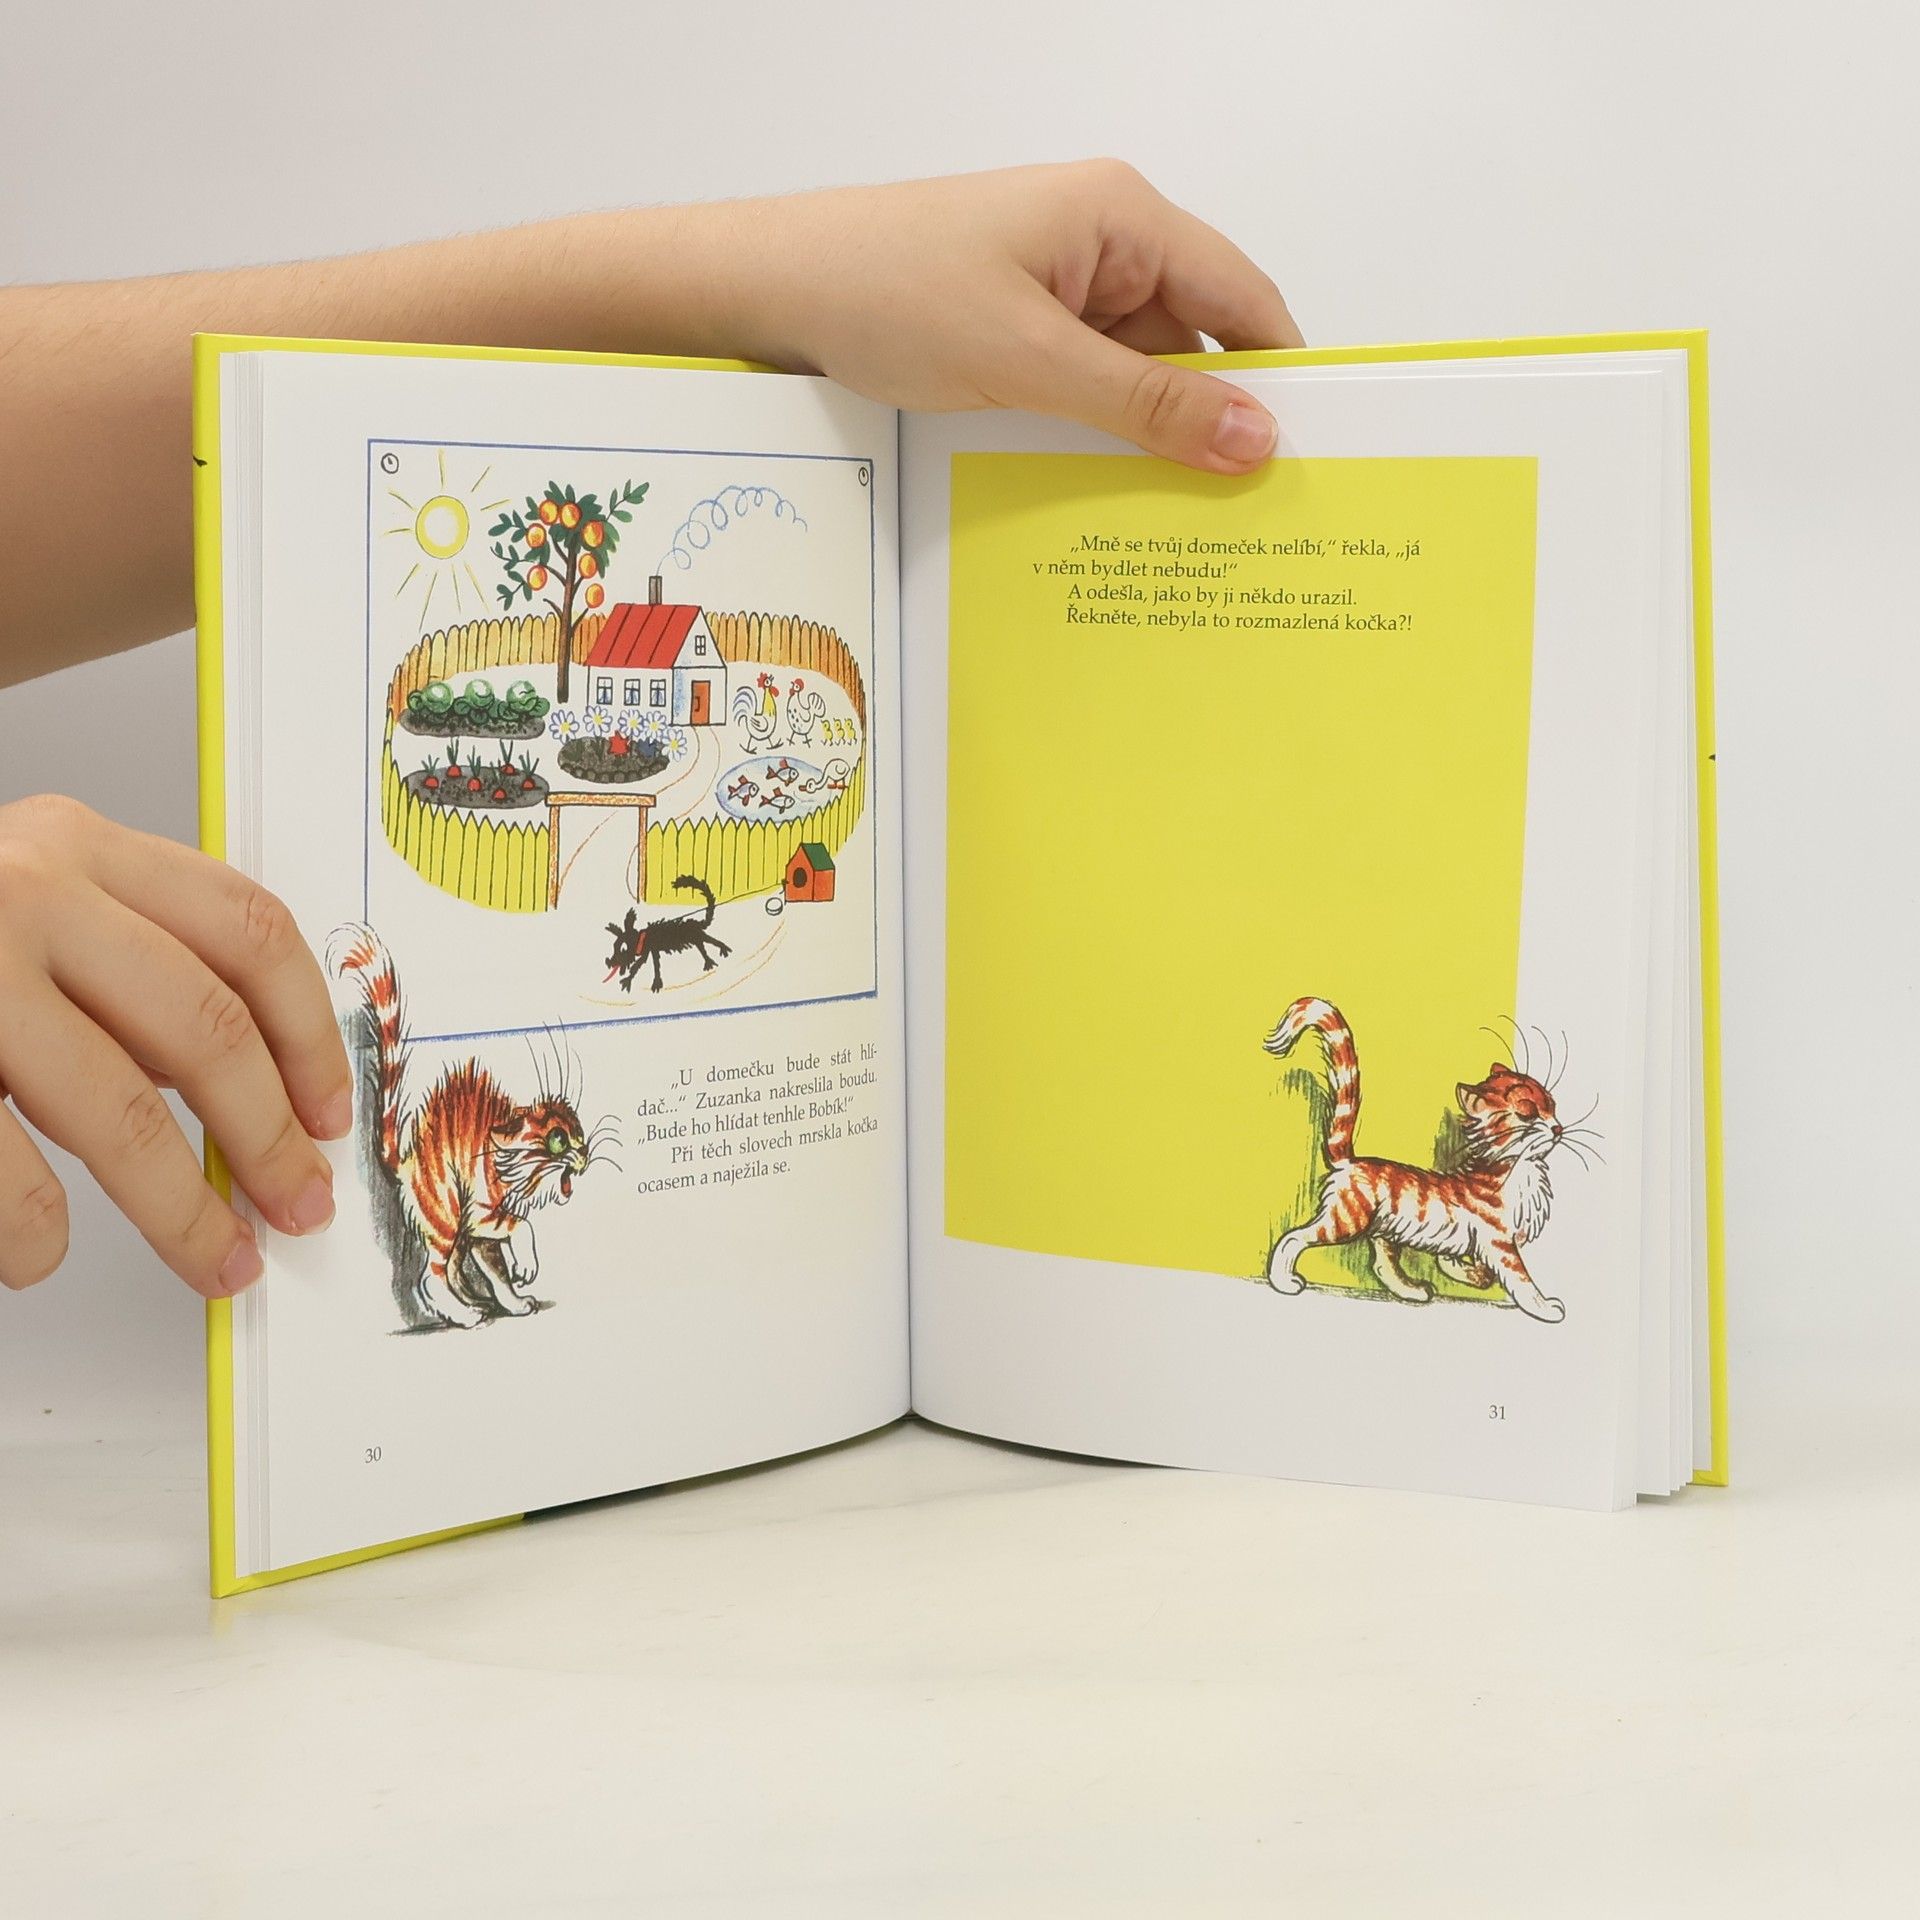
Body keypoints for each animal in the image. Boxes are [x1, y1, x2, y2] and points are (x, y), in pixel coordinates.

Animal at [332, 927, 604, 1331]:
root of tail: (407, 1163)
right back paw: (466, 1314)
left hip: (455, 1231)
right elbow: (521, 1227)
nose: (584, 1157)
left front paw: (514, 1300)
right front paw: (526, 1268)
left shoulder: (479, 1235)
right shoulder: (482, 1212)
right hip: (445, 1217)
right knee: (429, 1278)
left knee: (453, 1272)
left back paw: (476, 1302)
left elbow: (498, 1272)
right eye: (558, 1140)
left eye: (581, 1135)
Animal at [1262, 997, 1593, 1324]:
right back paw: (1284, 1280)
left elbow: (1458, 1265)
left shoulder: (1469, 1241)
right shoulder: (1499, 1243)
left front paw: (1472, 1275)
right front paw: (1544, 1307)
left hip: (1385, 1230)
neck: (1519, 1169)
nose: (1558, 1128)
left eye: (1551, 1106)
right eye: (1527, 1113)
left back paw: (1411, 1291)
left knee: (1382, 1264)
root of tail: (1350, 1161)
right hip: (1344, 1220)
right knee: (1294, 1238)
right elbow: (1522, 1280)